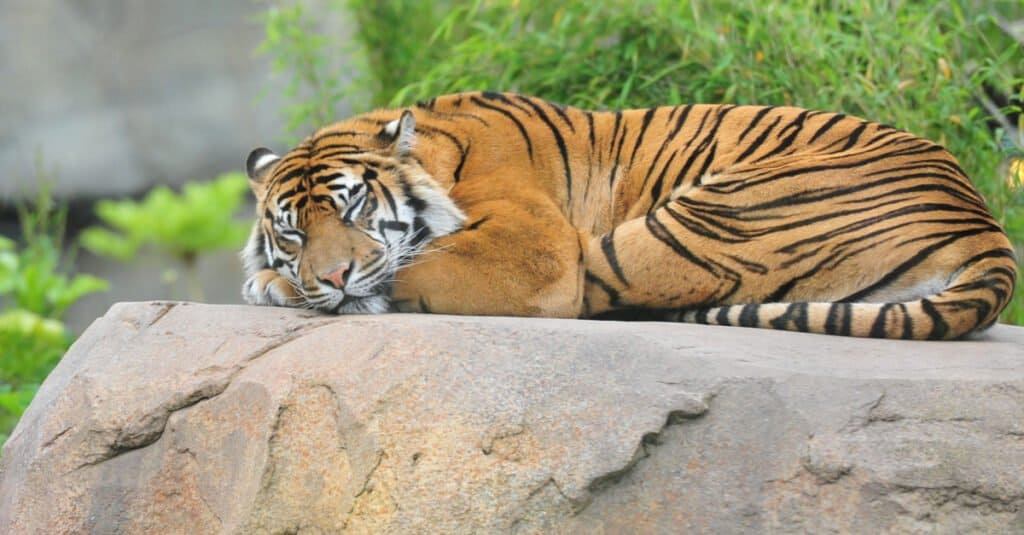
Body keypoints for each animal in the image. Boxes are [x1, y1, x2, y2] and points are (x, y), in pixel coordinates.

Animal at [241, 91, 1016, 339]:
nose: (332, 277)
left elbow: (407, 268)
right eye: (292, 230)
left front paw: (272, 285)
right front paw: (284, 280)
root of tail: (983, 218)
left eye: (355, 204)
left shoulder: (537, 252)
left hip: (681, 228)